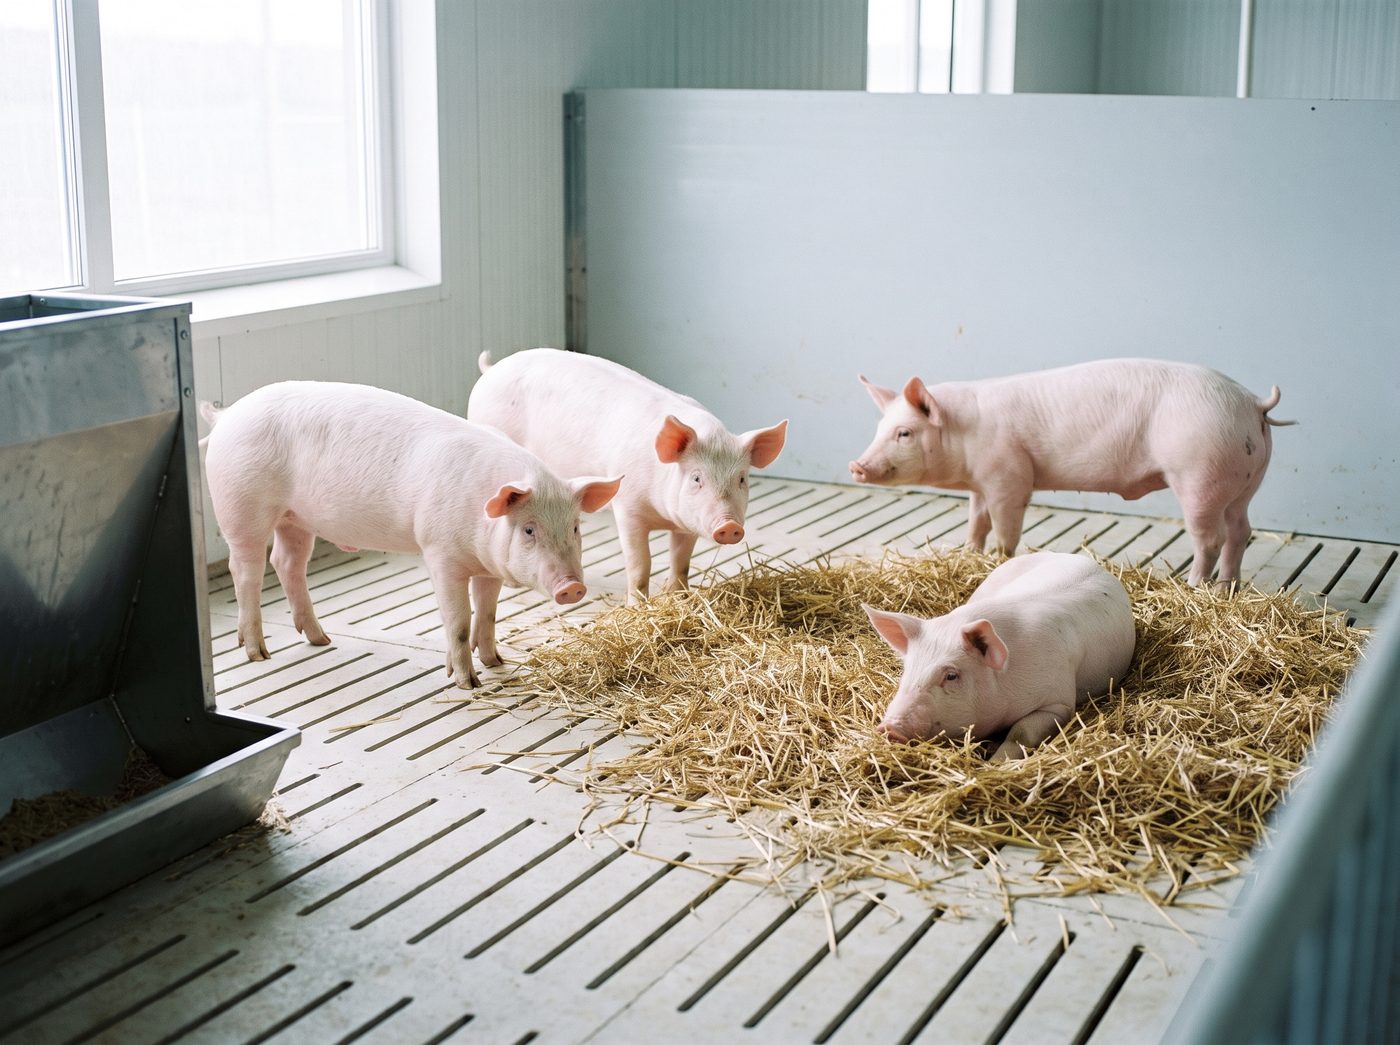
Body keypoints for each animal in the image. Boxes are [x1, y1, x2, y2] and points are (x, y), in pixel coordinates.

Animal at [201, 381, 620, 687]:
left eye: (575, 527)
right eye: (530, 528)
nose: (572, 587)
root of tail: (226, 415)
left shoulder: (487, 566)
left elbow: (487, 613)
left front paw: (496, 661)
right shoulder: (440, 552)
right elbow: (457, 620)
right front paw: (468, 683)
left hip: (296, 519)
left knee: (287, 562)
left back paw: (321, 639)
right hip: (241, 507)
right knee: (246, 570)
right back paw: (258, 653)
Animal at [468, 348, 788, 603]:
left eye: (742, 479)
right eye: (697, 478)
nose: (730, 526)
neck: (662, 514)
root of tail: (491, 370)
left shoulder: (685, 523)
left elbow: (681, 560)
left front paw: (679, 596)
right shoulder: (627, 508)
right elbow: (640, 563)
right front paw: (638, 605)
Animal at [849, 358, 1294, 586]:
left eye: (905, 433)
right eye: (879, 428)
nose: (856, 466)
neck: (964, 433)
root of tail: (1253, 402)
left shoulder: (1009, 476)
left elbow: (1006, 528)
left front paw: (999, 560)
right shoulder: (981, 482)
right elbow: (977, 520)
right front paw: (970, 553)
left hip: (1200, 474)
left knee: (1210, 537)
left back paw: (1193, 586)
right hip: (1245, 482)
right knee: (1240, 532)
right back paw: (1226, 588)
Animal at [865, 551, 1135, 760]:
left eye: (951, 675)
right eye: (907, 670)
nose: (888, 728)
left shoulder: (1059, 702)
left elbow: (1021, 731)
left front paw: (995, 762)